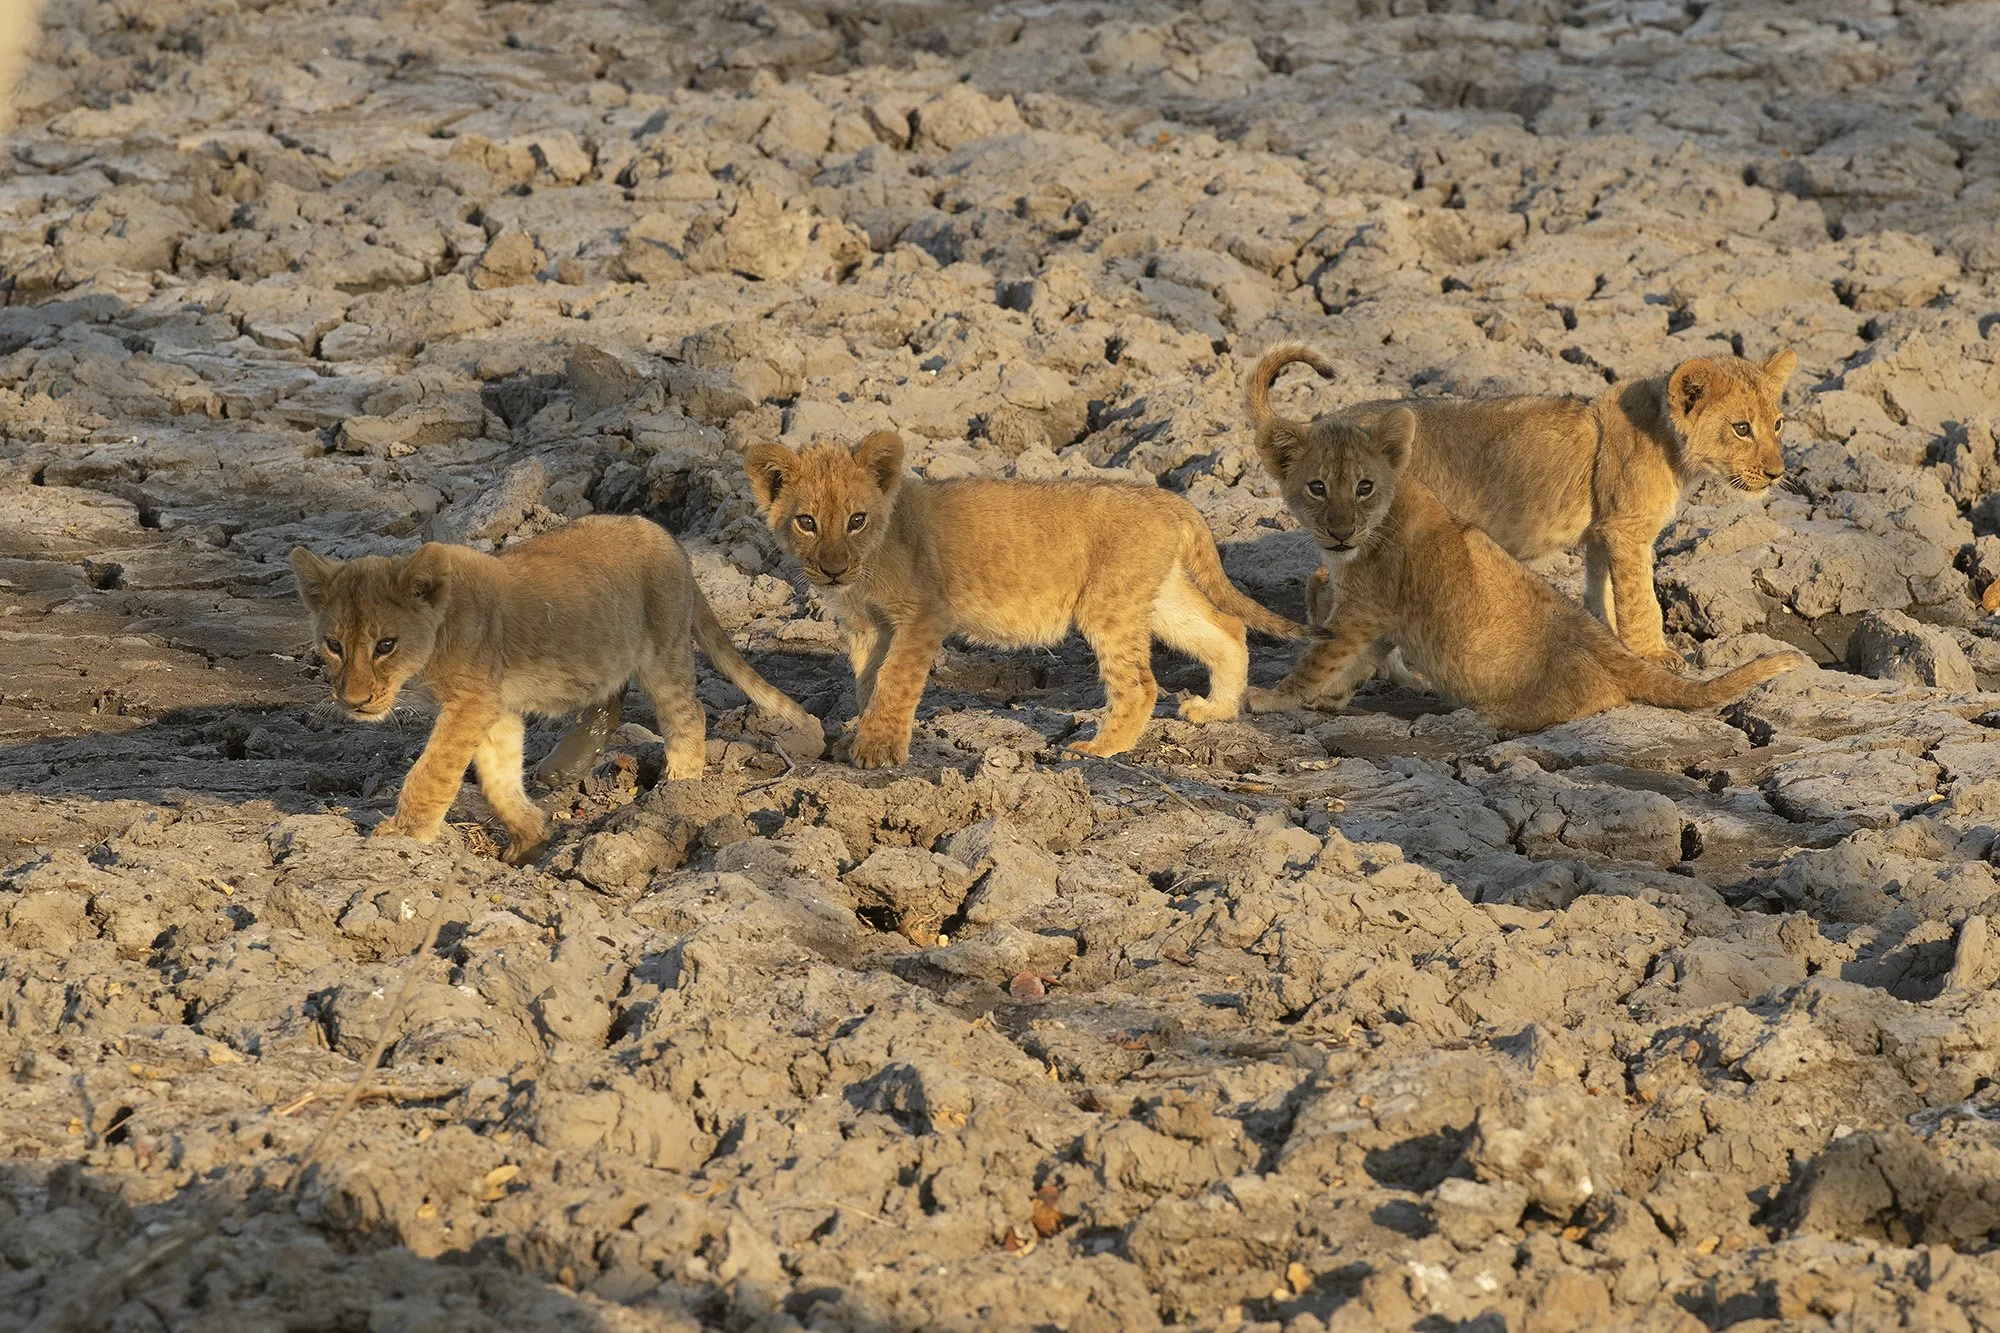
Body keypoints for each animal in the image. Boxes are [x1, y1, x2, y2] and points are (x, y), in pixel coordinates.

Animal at [290, 515, 824, 863]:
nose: (353, 702)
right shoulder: (496, 705)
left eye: (385, 645)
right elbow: (498, 776)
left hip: (662, 647)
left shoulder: (472, 702)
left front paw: (403, 836)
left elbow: (433, 771)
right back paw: (563, 767)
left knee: (687, 713)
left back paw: (679, 789)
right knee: (610, 699)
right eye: (334, 645)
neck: (438, 633)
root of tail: (669, 540)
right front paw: (530, 836)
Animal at [743, 430, 1310, 768]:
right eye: (807, 522)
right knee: (1226, 629)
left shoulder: (924, 616)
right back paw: (1216, 710)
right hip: (1157, 594)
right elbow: (867, 682)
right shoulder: (868, 627)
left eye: (856, 519)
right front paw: (858, 737)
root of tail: (1166, 497)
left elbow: (894, 682)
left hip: (1107, 606)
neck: (869, 563)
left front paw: (878, 752)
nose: (832, 569)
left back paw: (1098, 749)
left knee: (1140, 684)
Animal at [1243, 406, 1805, 732]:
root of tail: (1606, 646)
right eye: (1317, 487)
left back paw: (1468, 719)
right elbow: (1355, 662)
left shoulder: (1362, 610)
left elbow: (1317, 659)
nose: (1340, 531)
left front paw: (1270, 698)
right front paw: (1330, 699)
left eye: (1364, 487)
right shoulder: (1378, 621)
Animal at [1248, 341, 1799, 665]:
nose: (1778, 472)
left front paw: (1608, 636)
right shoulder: (1627, 529)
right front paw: (1656, 655)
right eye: (1741, 428)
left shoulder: (1602, 531)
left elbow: (1602, 591)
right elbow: (1641, 600)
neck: (1667, 439)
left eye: (1777, 424)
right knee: (1326, 577)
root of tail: (1318, 428)